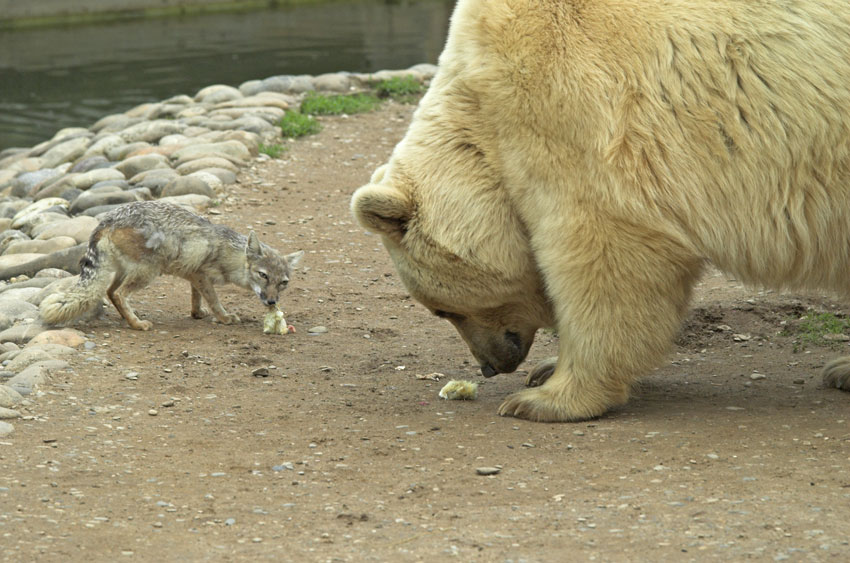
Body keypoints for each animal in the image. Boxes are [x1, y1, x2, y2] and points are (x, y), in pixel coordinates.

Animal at [40, 200, 304, 330]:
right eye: (263, 276)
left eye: (283, 282)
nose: (272, 302)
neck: (228, 252)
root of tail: (107, 219)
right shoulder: (200, 274)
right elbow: (214, 299)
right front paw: (224, 317)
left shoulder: (194, 276)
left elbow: (196, 298)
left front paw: (197, 314)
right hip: (148, 273)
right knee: (120, 293)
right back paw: (137, 324)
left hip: (126, 271)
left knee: (110, 292)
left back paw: (129, 320)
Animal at [348, 0, 848, 420]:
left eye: (440, 309)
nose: (492, 366)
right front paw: (546, 369)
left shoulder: (571, 106)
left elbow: (603, 252)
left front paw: (544, 399)